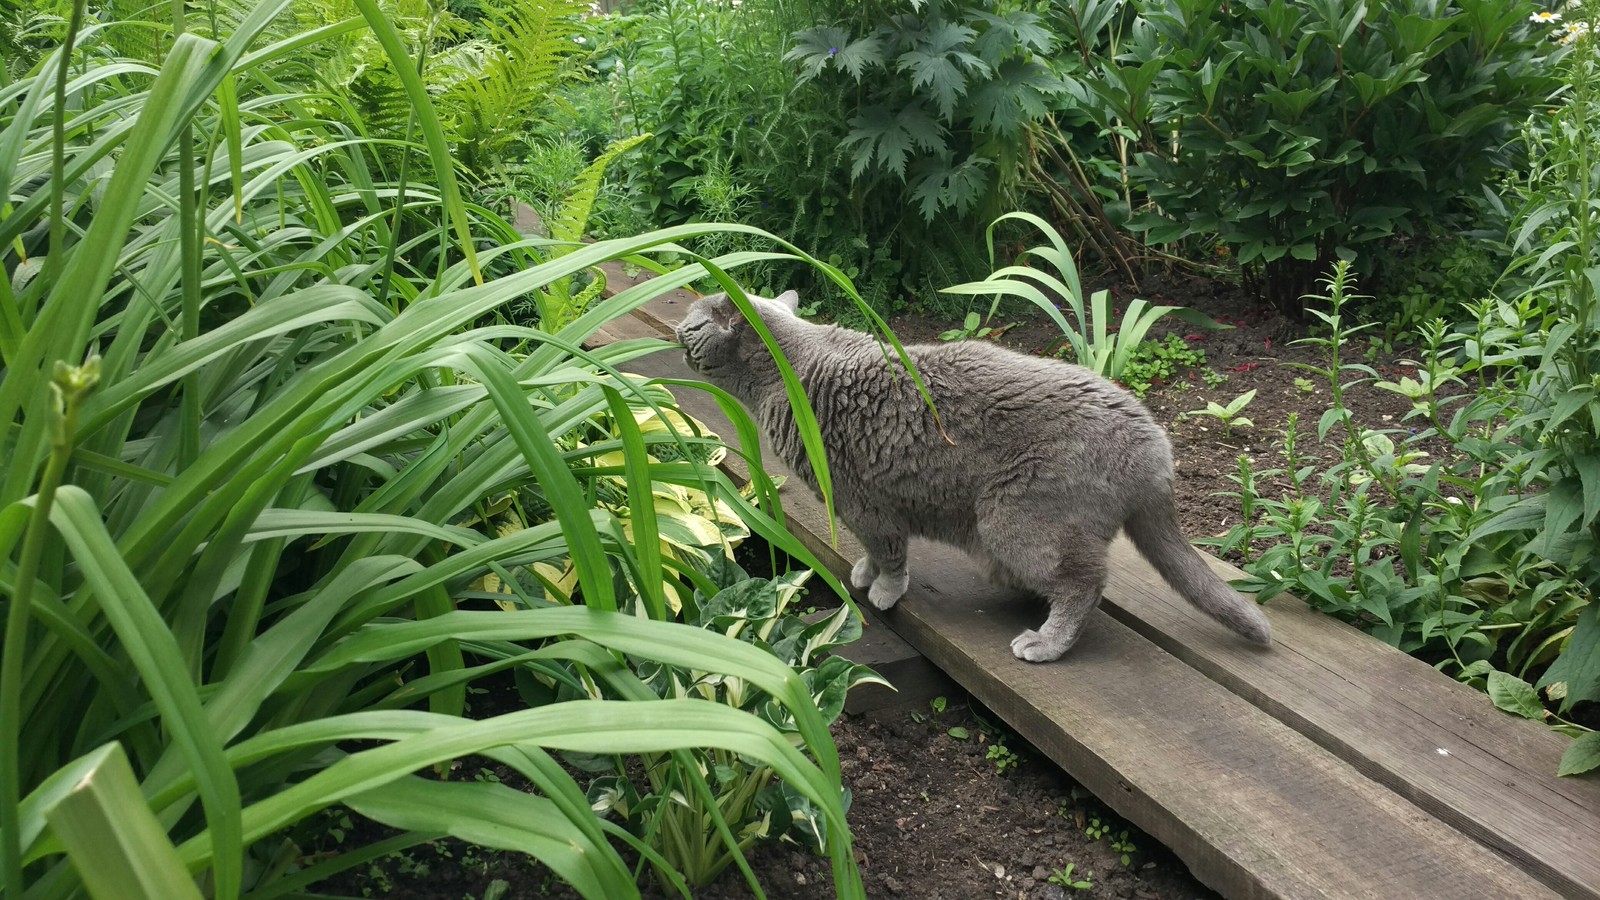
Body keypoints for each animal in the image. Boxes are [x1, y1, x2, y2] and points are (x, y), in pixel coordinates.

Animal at [675, 286, 1273, 659]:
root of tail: (1157, 446)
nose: (678, 329)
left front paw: (884, 590)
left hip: (1011, 516)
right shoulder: (859, 507)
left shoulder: (864, 501)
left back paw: (1045, 641)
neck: (788, 372)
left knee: (1086, 583)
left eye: (695, 323)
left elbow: (890, 553)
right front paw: (863, 573)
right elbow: (870, 551)